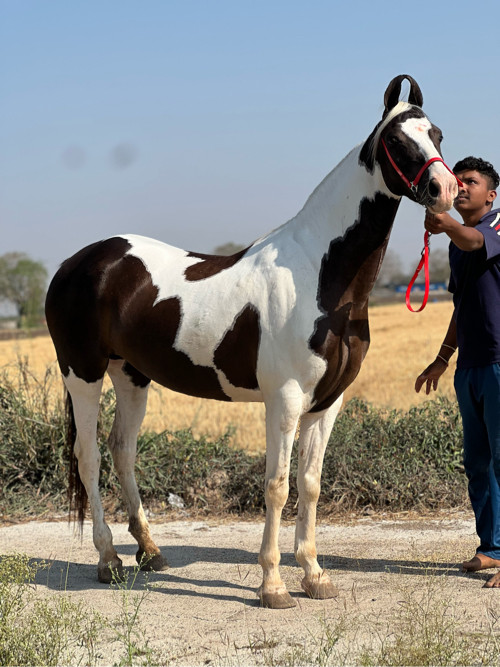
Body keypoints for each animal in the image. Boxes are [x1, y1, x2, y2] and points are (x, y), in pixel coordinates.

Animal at [45, 74, 458, 612]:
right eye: (396, 139)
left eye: (438, 134)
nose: (444, 189)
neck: (319, 276)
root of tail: (75, 263)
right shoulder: (284, 400)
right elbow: (277, 487)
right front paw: (273, 584)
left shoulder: (327, 403)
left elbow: (310, 485)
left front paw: (315, 575)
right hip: (84, 373)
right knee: (89, 456)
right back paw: (108, 559)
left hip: (131, 375)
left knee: (123, 450)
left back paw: (150, 552)